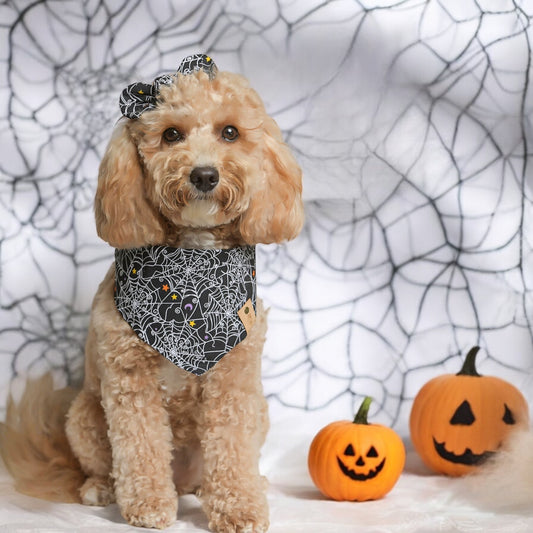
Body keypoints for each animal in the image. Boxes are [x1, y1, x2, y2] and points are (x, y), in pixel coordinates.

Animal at [1, 55, 304, 532]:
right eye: (171, 134)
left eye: (230, 132)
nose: (204, 174)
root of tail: (183, 481)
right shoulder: (130, 381)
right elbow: (139, 446)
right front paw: (147, 505)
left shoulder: (235, 381)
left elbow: (232, 448)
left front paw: (239, 506)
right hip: (85, 415)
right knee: (102, 464)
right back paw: (103, 488)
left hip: (261, 410)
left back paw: (231, 486)